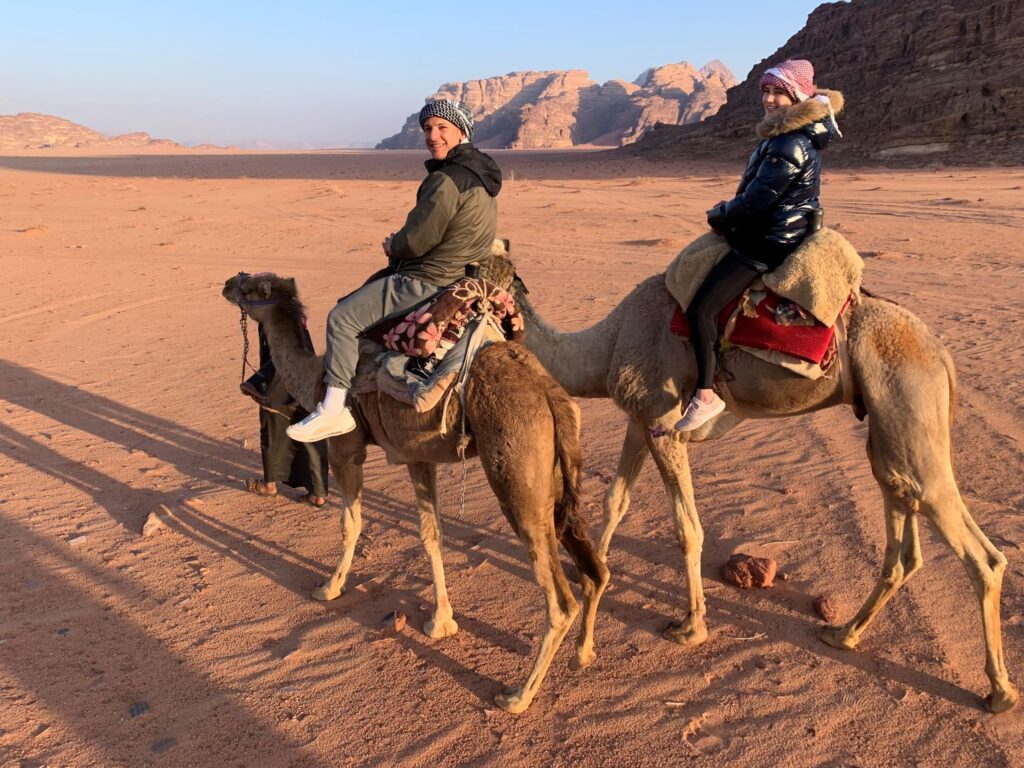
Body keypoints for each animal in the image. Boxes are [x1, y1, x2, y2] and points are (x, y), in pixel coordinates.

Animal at [220, 272, 606, 716]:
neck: (315, 376)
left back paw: (516, 695)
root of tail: (550, 395)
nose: (227, 284)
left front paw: (329, 588)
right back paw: (583, 654)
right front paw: (441, 622)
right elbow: (431, 534)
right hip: (558, 477)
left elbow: (351, 523)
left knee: (560, 601)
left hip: (517, 476)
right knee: (595, 570)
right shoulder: (417, 456)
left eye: (251, 287)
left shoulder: (346, 447)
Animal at [507, 262, 1019, 712]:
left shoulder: (664, 420)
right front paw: (590, 574)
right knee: (903, 526)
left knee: (979, 552)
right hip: (889, 428)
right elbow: (616, 501)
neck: (609, 341)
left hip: (908, 401)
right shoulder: (640, 418)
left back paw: (999, 693)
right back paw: (844, 634)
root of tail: (941, 353)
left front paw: (690, 627)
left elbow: (687, 528)